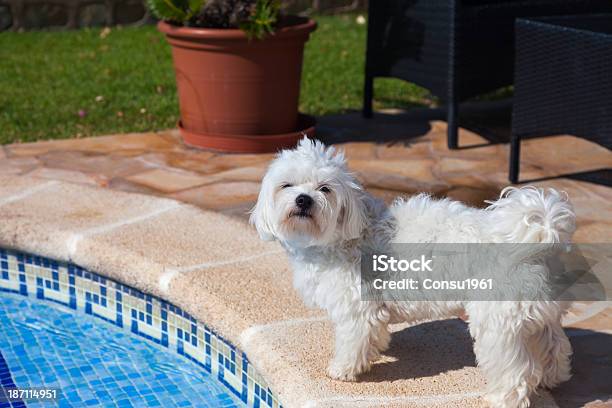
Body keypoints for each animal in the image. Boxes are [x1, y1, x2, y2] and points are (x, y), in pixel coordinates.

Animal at [249, 139, 572, 406]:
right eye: (287, 186)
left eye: (325, 189)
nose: (304, 199)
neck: (344, 234)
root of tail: (539, 238)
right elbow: (374, 335)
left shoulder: (357, 309)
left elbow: (353, 341)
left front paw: (342, 370)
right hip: (536, 315)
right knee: (554, 346)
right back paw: (552, 377)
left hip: (498, 322)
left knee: (516, 372)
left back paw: (503, 398)